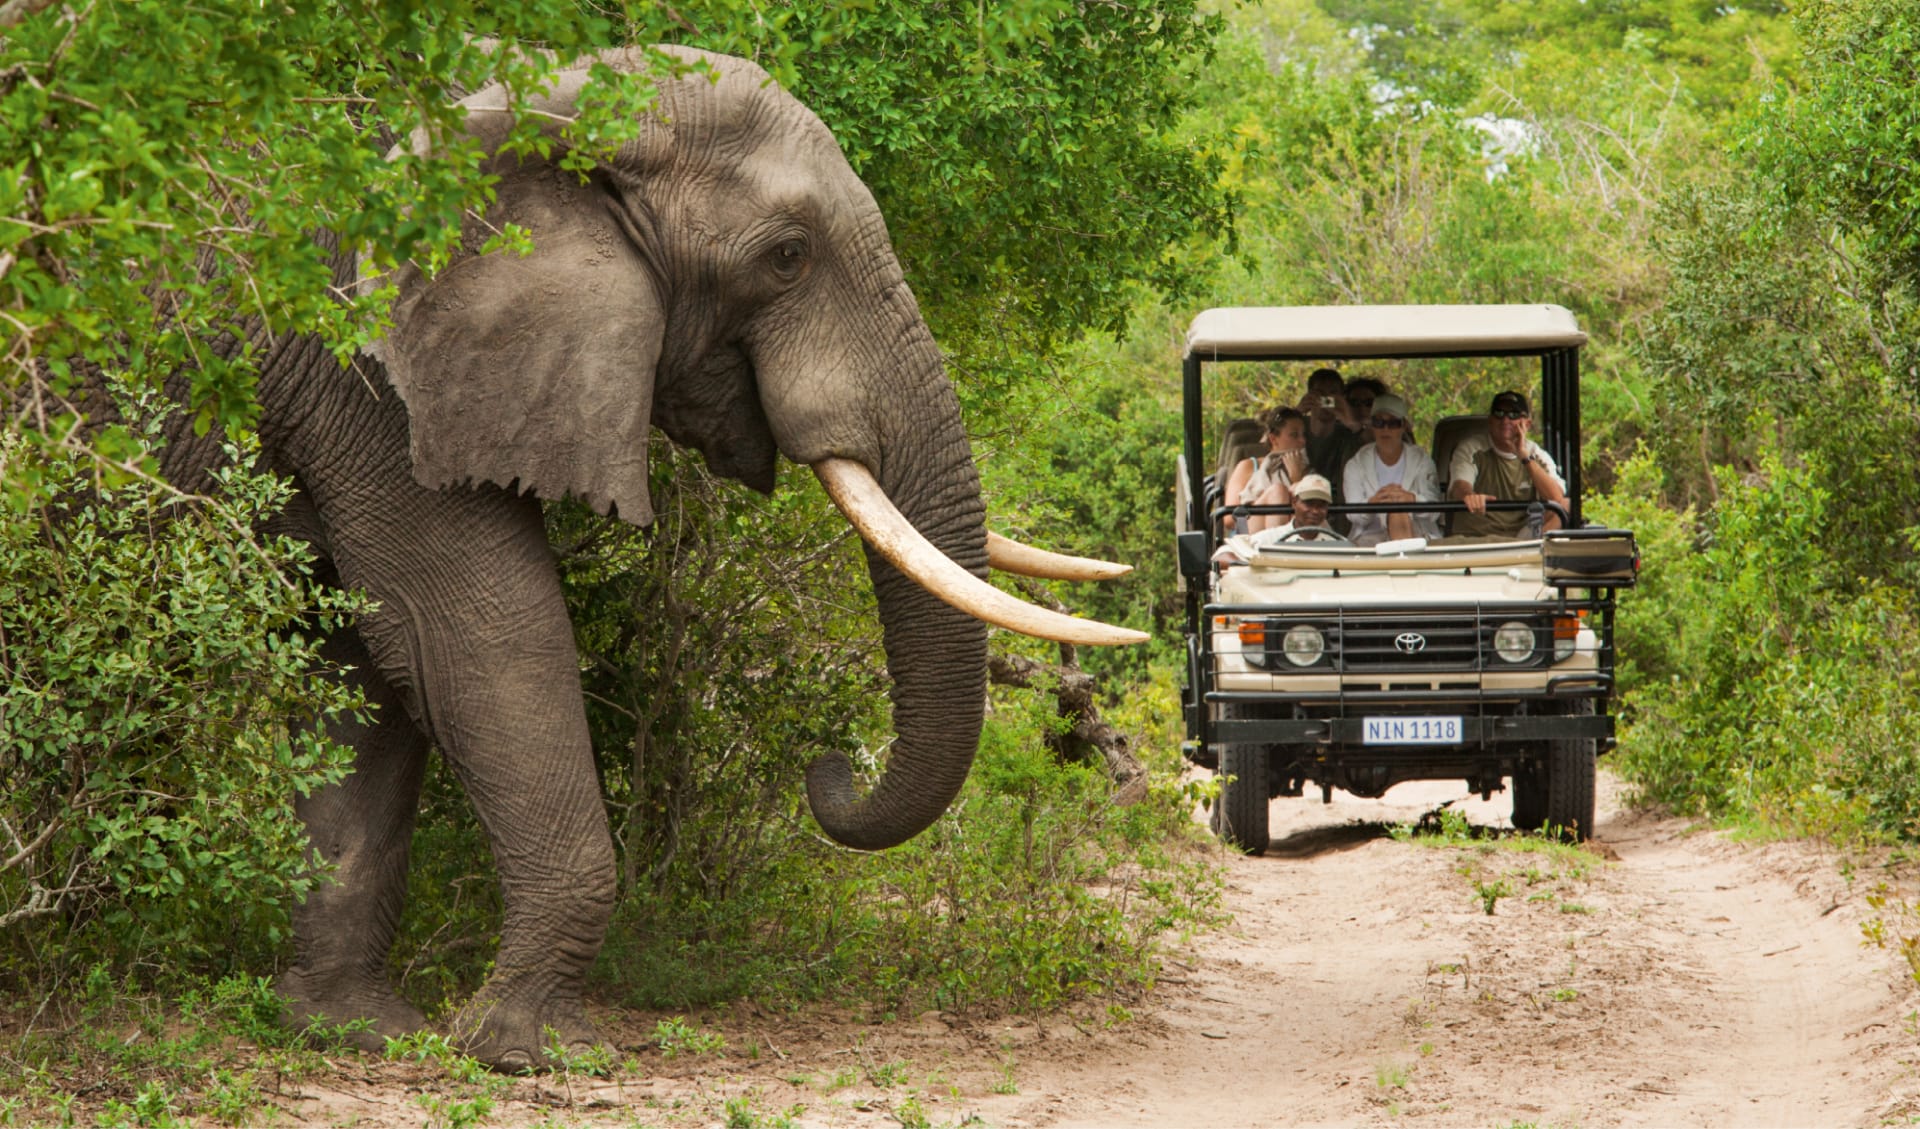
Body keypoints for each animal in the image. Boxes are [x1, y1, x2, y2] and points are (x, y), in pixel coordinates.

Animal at [105, 44, 1144, 1067]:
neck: (542, 91)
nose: (829, 767)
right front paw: (522, 1049)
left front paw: (351, 1029)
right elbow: (474, 630)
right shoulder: (360, 362)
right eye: (788, 257)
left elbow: (374, 661)